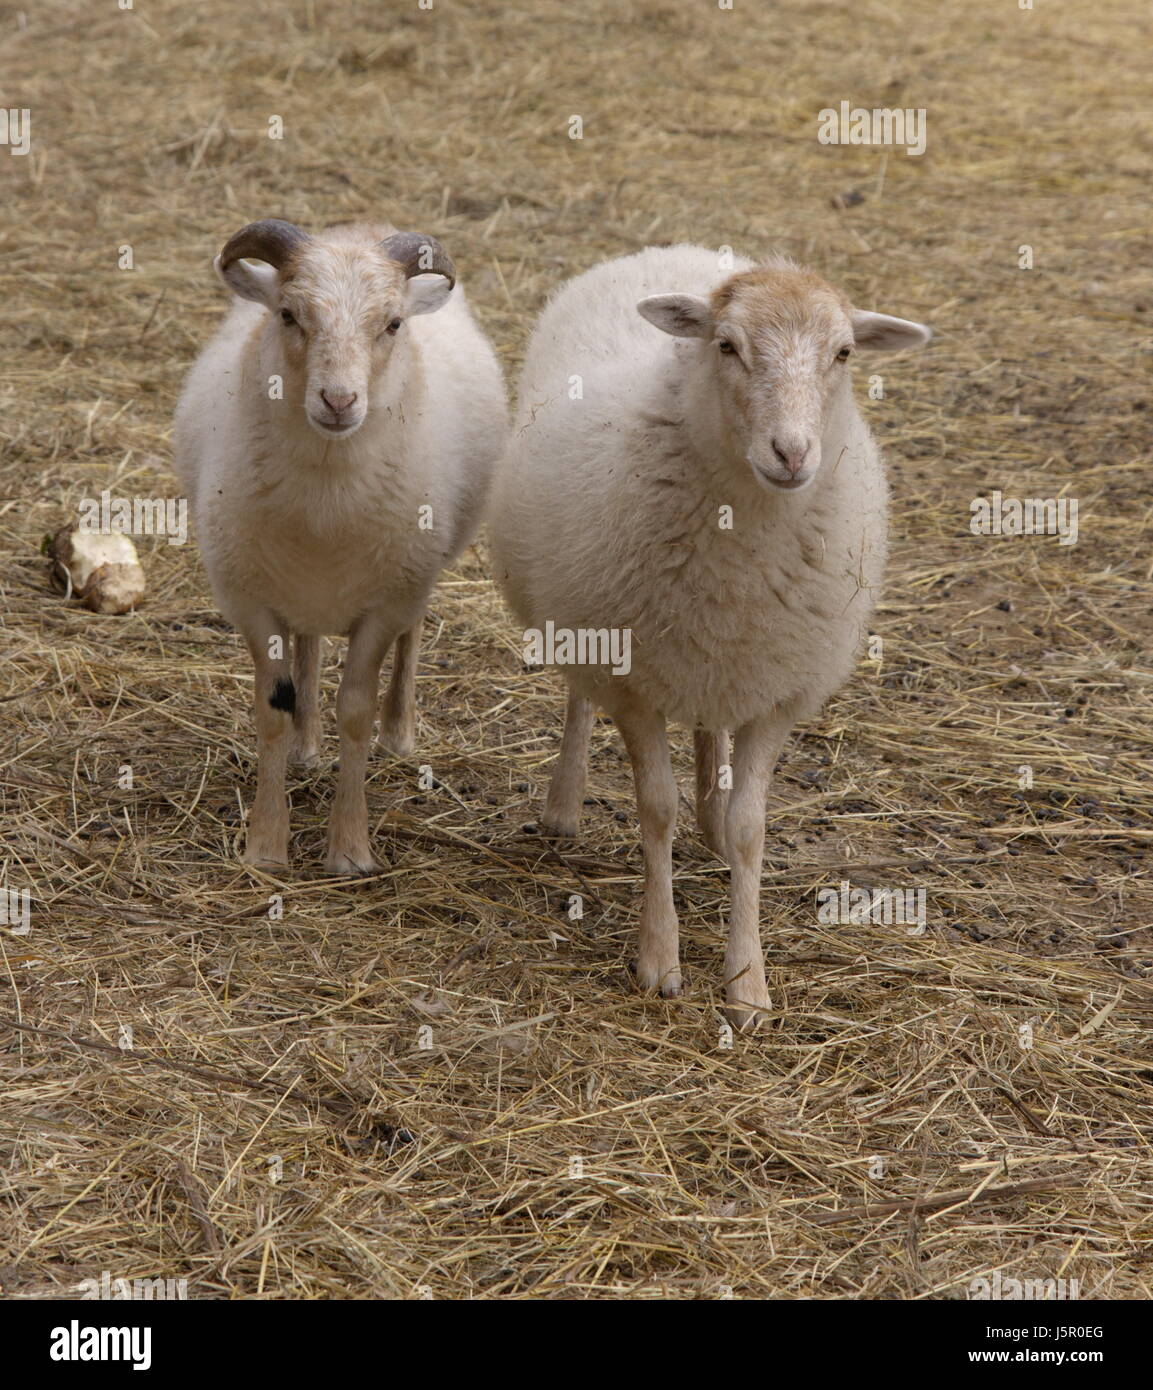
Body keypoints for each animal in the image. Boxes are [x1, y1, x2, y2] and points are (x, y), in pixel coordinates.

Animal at [174, 218, 507, 874]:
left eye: (394, 324)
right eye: (287, 314)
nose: (338, 401)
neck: (326, 501)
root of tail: (365, 227)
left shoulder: (385, 603)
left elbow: (355, 710)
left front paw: (349, 849)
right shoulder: (252, 601)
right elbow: (270, 712)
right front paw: (266, 844)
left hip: (419, 569)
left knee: (412, 638)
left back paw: (398, 733)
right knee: (308, 646)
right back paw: (306, 743)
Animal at [489, 244, 930, 1024]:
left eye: (844, 352)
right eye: (725, 346)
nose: (792, 453)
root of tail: (669, 252)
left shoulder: (777, 688)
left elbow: (754, 826)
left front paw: (747, 983)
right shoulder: (632, 683)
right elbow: (654, 809)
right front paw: (659, 959)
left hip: (722, 654)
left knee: (709, 728)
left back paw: (712, 819)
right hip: (580, 610)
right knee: (579, 701)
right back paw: (565, 804)